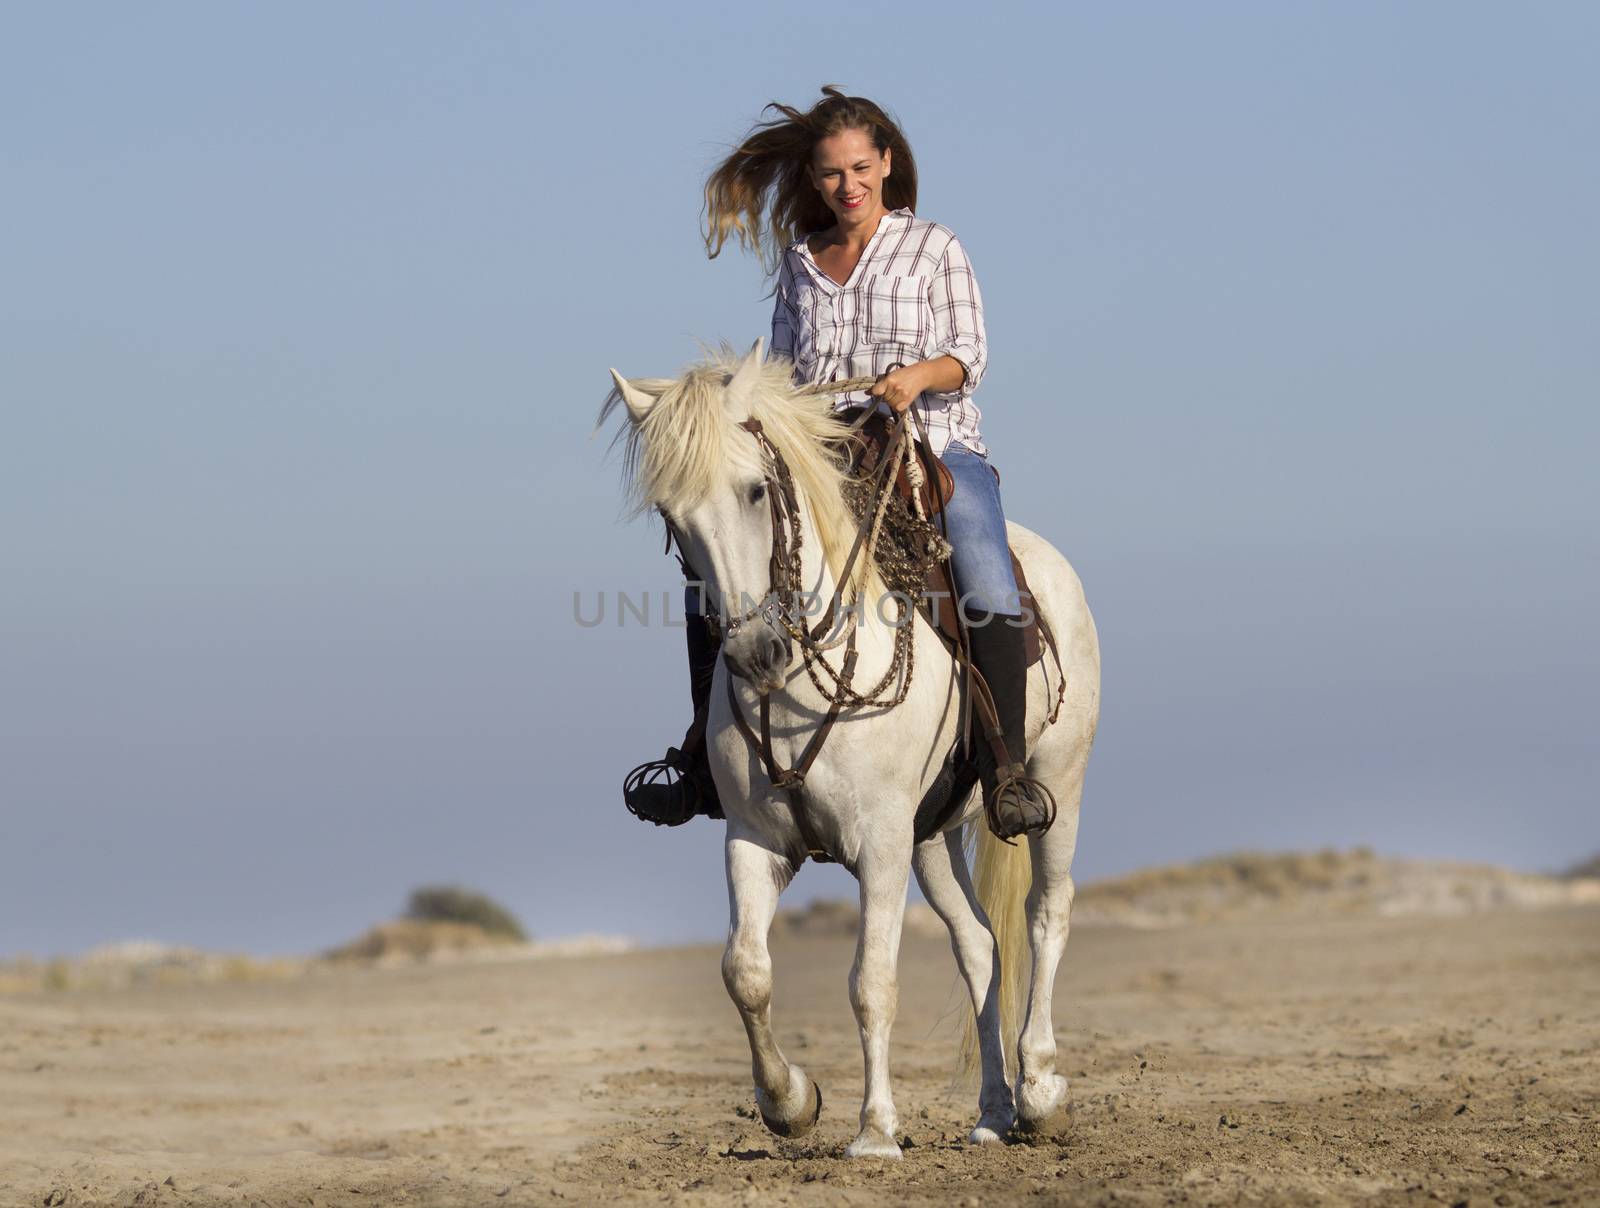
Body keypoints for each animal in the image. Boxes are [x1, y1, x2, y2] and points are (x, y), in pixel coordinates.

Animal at [601, 342, 1100, 1164]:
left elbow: (872, 983)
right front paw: (790, 1103)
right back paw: (993, 1111)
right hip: (933, 839)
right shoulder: (756, 840)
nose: (757, 652)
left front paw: (874, 1132)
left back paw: (1039, 1091)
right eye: (673, 518)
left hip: (1058, 784)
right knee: (980, 945)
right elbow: (745, 970)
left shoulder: (880, 845)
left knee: (1045, 915)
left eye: (755, 490)